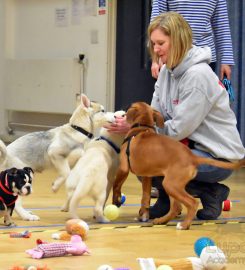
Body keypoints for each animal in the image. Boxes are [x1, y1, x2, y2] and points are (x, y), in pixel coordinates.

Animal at [112, 101, 245, 230]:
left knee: (192, 203)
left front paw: (116, 201)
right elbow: (145, 197)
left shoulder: (123, 168)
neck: (142, 128)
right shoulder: (146, 177)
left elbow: (116, 185)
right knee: (176, 207)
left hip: (170, 184)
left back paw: (184, 225)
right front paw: (143, 215)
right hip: (171, 186)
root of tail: (192, 157)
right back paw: (162, 220)